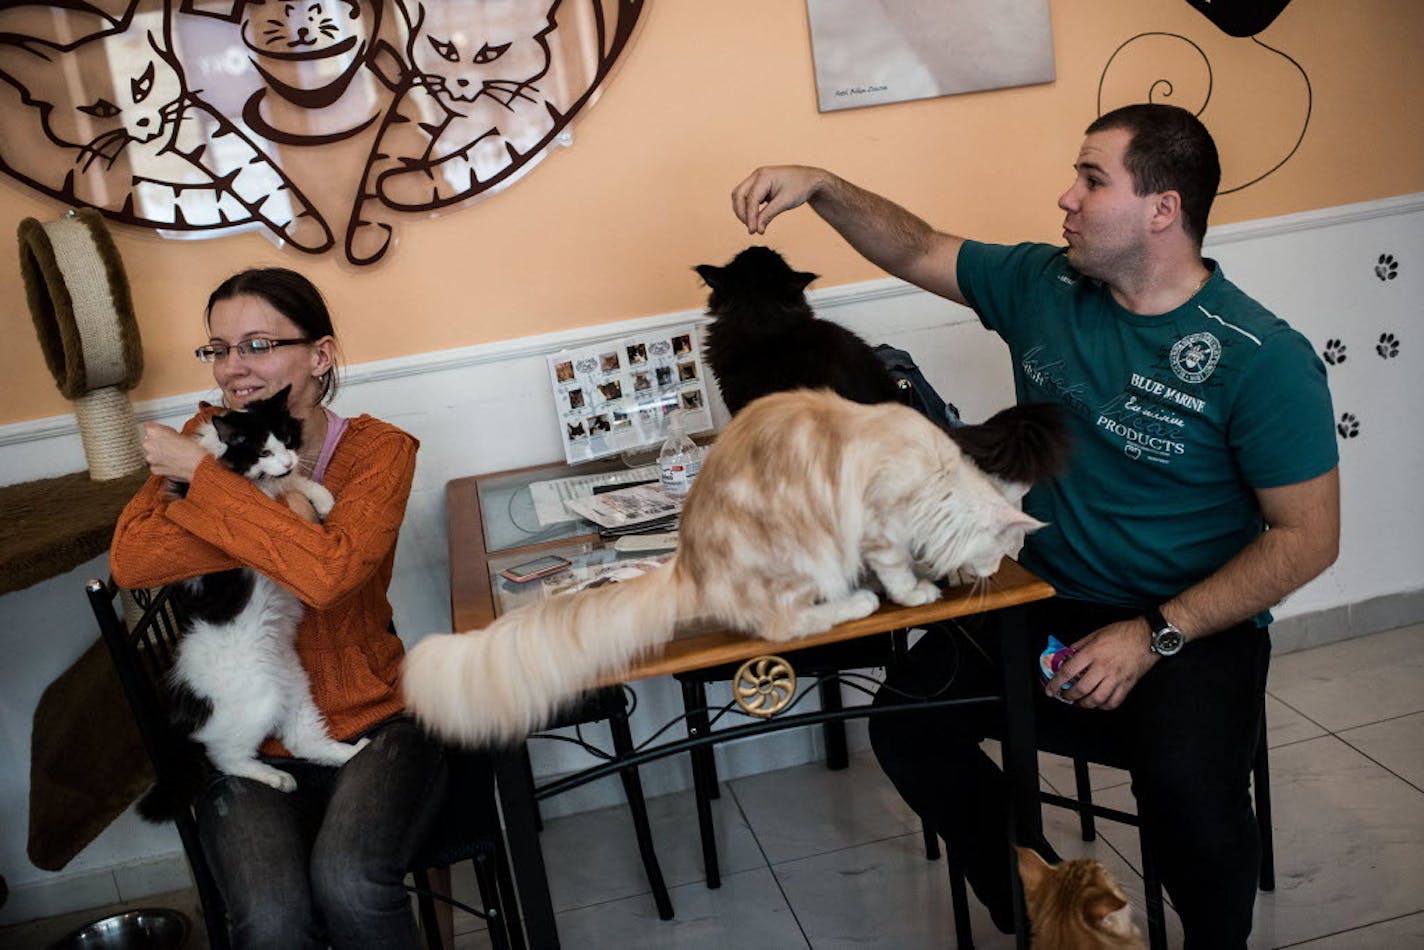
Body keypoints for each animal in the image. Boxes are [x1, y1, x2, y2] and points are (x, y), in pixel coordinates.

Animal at [404, 390, 1070, 746]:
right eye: (995, 554)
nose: (989, 574)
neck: (937, 480)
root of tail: (688, 565)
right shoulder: (879, 523)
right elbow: (896, 568)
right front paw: (916, 591)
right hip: (802, 559)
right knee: (784, 623)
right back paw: (855, 603)